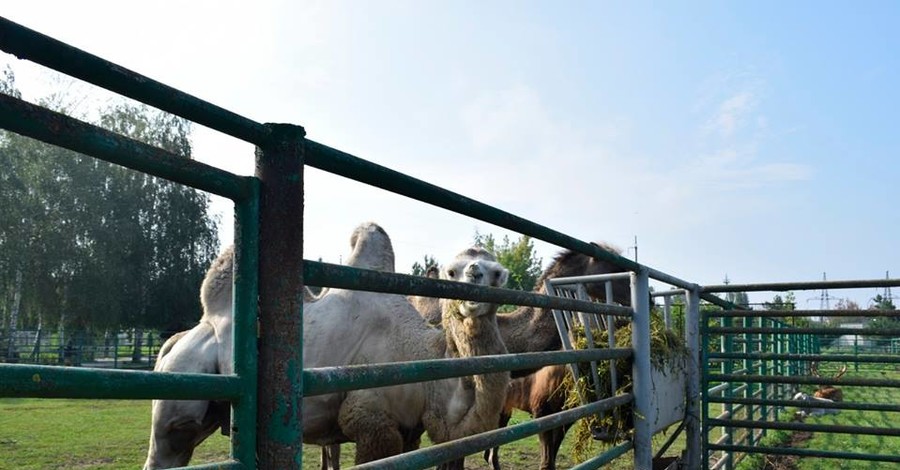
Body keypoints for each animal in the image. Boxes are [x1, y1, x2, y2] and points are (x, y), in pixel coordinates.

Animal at [143, 222, 510, 468]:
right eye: (452, 271)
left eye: (496, 274)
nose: (475, 280)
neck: (420, 356)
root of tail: (176, 340)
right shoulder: (370, 422)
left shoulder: (410, 431)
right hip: (183, 388)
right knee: (166, 445)